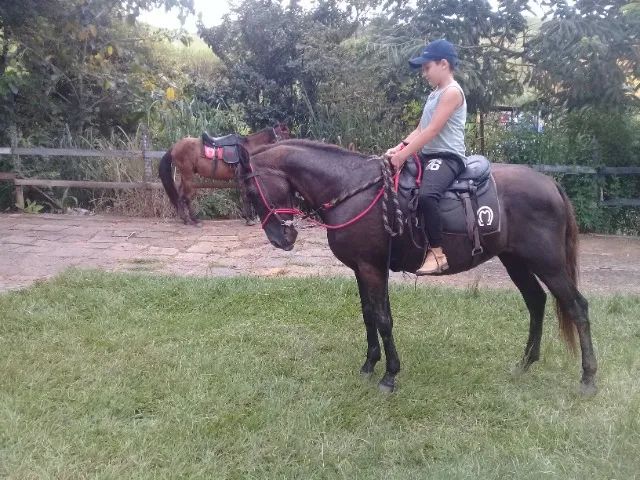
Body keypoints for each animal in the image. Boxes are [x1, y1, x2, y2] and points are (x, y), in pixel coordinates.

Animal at [158, 124, 290, 225]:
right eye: (286, 135)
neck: (248, 147)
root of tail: (174, 147)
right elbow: (246, 196)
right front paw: (249, 219)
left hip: (184, 176)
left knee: (180, 197)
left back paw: (185, 219)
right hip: (188, 176)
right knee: (187, 197)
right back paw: (194, 220)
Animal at [236, 139, 597, 396]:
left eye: (252, 190)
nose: (280, 239)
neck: (350, 189)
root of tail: (550, 183)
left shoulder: (372, 268)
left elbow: (383, 319)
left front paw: (389, 375)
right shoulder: (361, 269)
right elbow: (369, 315)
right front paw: (369, 364)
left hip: (548, 264)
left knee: (576, 306)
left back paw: (588, 378)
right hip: (516, 261)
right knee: (536, 302)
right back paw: (525, 364)